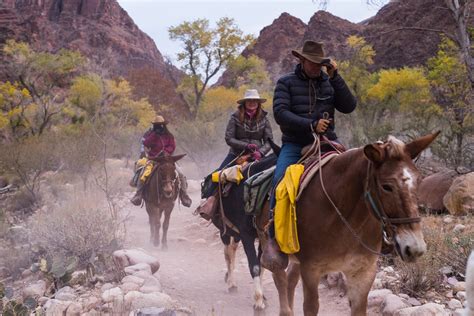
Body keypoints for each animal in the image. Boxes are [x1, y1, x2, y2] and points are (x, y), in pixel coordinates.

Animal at [258, 131, 438, 316]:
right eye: (386, 186)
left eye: (419, 181)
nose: (415, 248)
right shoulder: (310, 270)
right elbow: (310, 306)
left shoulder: (363, 273)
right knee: (279, 279)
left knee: (290, 280)